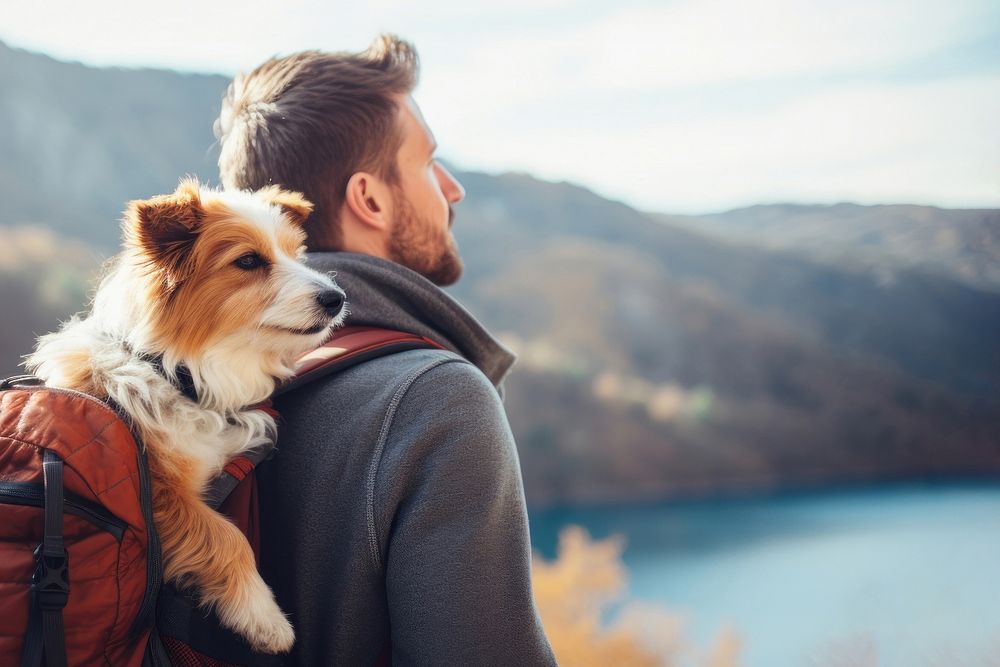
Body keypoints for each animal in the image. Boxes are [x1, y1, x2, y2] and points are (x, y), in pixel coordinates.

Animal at [25, 180, 346, 656]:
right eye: (248, 261)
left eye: (296, 254)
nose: (337, 298)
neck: (177, 374)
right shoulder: (156, 497)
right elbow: (228, 537)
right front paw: (264, 616)